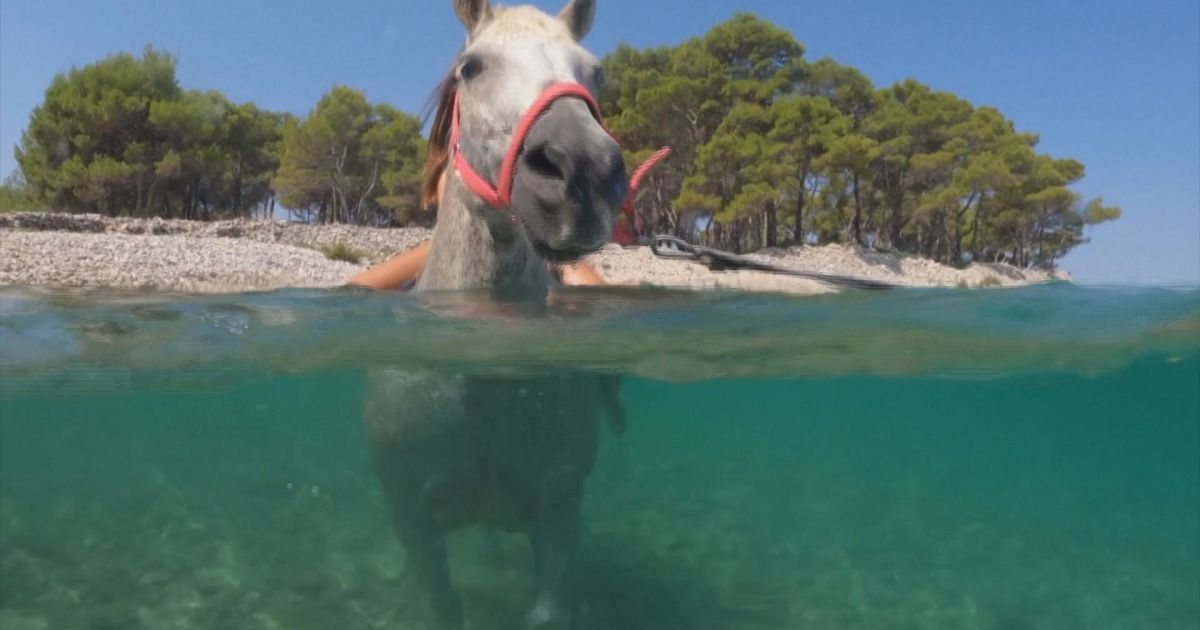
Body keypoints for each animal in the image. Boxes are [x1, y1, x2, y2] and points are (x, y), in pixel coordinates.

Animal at [363, 1, 632, 628]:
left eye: (597, 71)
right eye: (472, 67)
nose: (583, 170)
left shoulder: (559, 508)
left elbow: (545, 610)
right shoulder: (411, 520)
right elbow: (444, 603)